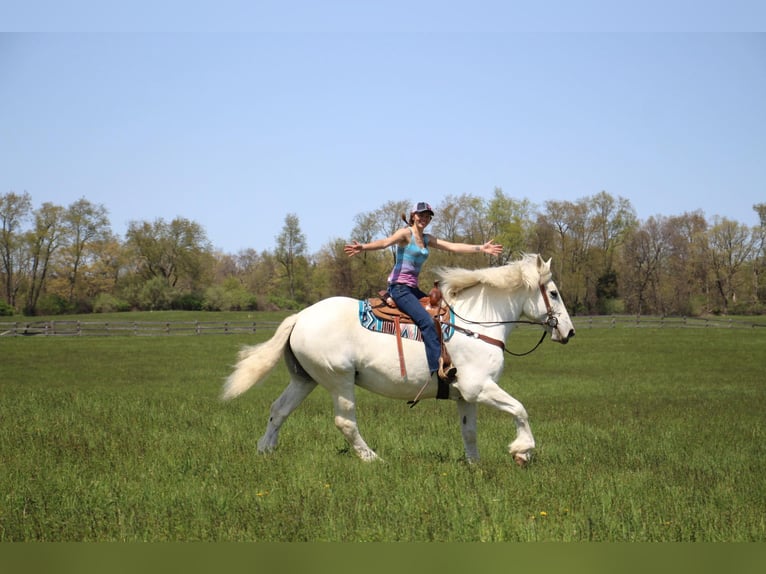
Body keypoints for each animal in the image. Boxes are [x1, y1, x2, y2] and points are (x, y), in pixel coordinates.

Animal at [222, 254, 576, 466]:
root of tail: (300, 317)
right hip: (339, 380)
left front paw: (474, 465)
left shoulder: (466, 396)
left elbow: (470, 432)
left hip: (304, 379)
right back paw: (372, 458)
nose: (569, 332)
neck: (477, 324)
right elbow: (520, 410)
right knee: (345, 422)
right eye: (553, 293)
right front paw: (522, 451)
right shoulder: (479, 387)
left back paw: (264, 450)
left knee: (279, 410)